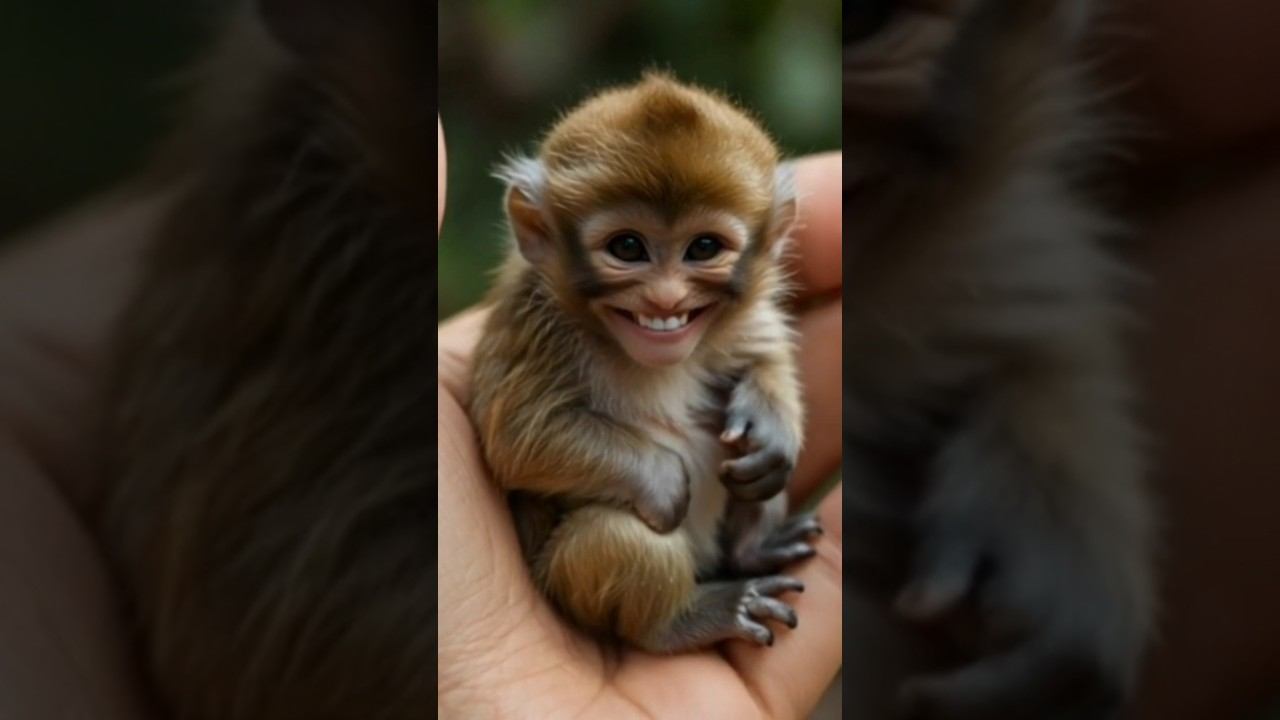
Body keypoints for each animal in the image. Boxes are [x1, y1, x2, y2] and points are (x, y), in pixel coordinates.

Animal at [466, 72, 823, 653]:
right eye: (628, 247)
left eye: (703, 248)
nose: (665, 300)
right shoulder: (536, 321)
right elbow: (517, 438)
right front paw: (661, 480)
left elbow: (764, 350)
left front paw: (771, 430)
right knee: (622, 536)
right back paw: (688, 619)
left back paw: (754, 550)